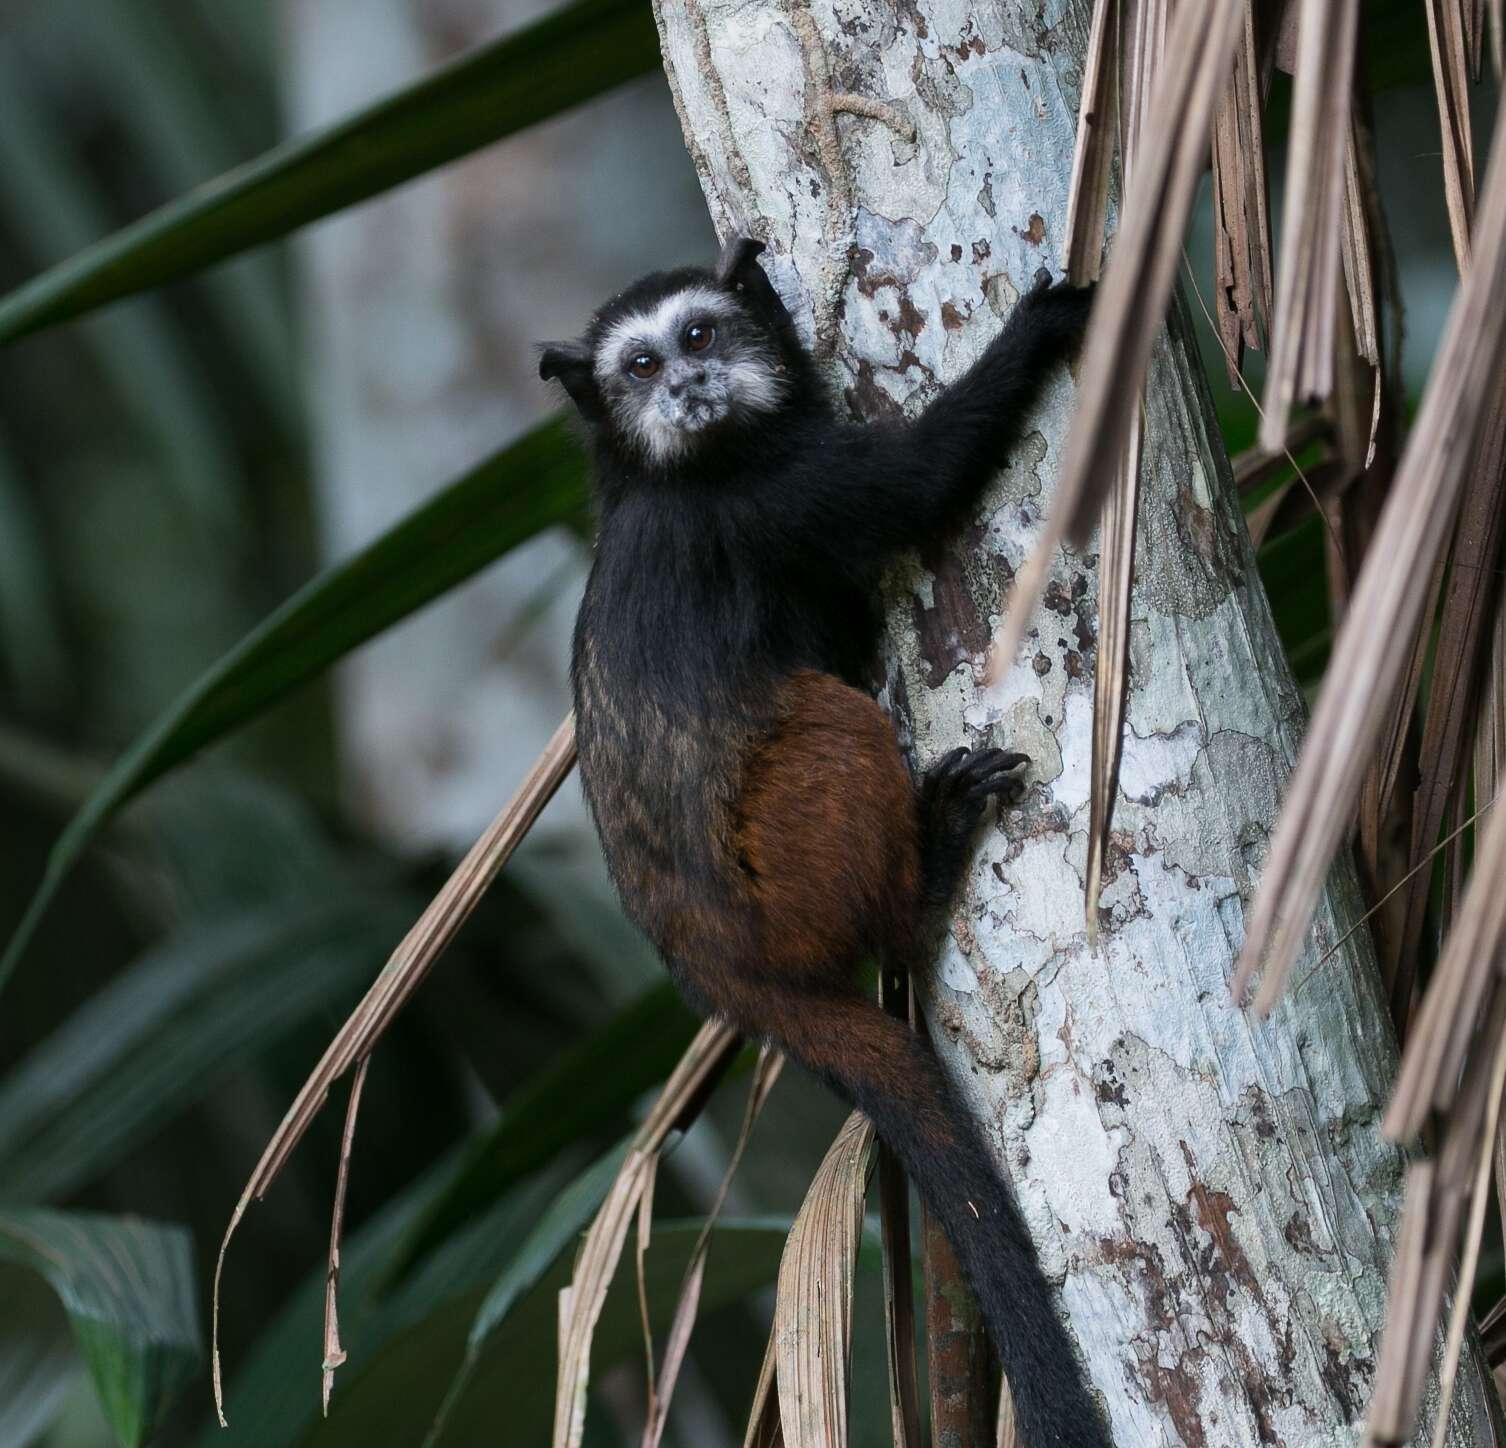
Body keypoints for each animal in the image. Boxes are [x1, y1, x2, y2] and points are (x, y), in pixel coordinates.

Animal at [542, 238, 1108, 1446]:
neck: (663, 475)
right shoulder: (761, 501)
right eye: (642, 365)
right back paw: (925, 877)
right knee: (830, 722)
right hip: (788, 878)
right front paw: (1043, 326)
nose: (688, 387)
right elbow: (915, 484)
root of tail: (725, 972)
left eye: (700, 336)